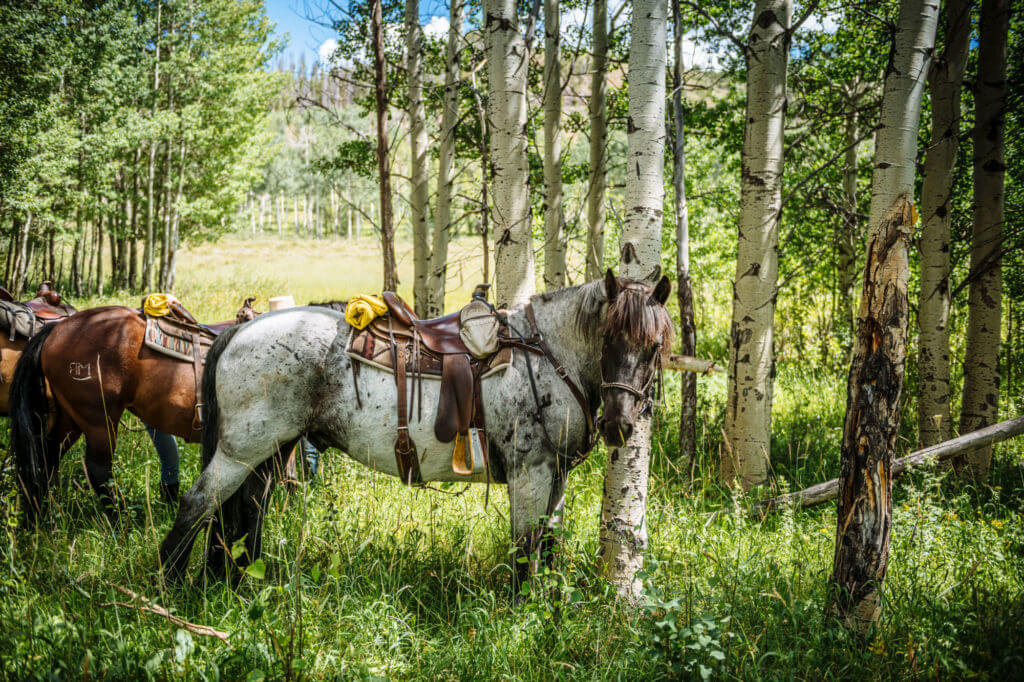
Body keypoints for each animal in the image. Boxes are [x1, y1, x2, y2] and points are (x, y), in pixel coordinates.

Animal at [11, 296, 258, 520]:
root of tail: (56, 329)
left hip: (69, 419)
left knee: (47, 457)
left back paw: (39, 516)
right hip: (98, 421)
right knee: (99, 470)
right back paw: (121, 521)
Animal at [157, 270, 671, 589]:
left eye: (654, 346)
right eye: (608, 338)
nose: (619, 424)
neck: (546, 354)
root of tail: (238, 331)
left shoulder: (556, 476)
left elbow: (547, 544)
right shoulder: (531, 473)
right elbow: (525, 546)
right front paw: (521, 611)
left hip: (270, 452)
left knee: (246, 512)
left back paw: (239, 581)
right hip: (241, 452)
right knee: (198, 504)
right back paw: (173, 585)